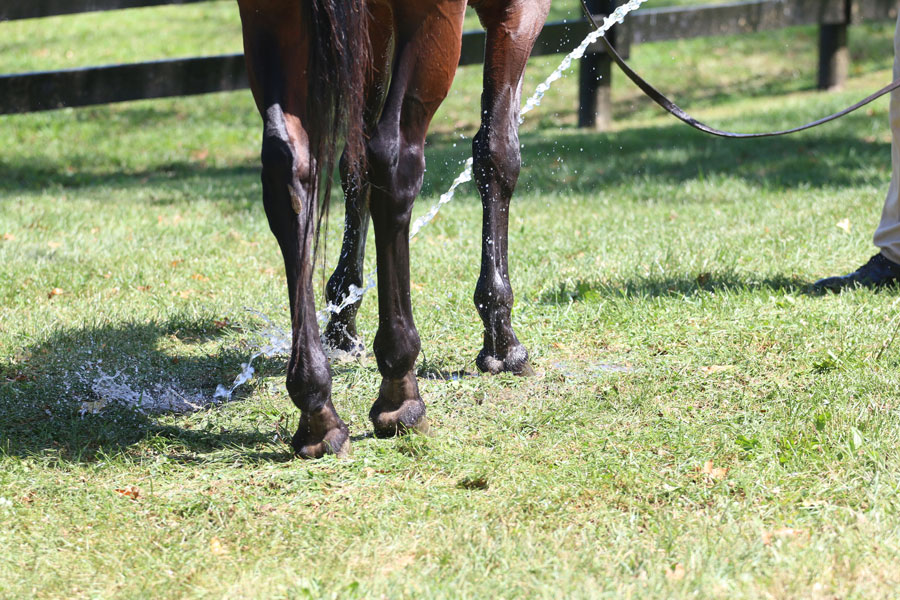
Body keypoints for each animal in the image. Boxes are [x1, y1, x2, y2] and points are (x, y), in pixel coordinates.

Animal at [236, 0, 552, 458]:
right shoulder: (515, 13)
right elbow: (497, 153)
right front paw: (501, 338)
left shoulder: (372, 27)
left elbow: (353, 166)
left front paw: (342, 316)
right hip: (431, 25)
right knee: (393, 157)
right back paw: (401, 392)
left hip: (271, 21)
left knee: (287, 169)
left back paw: (316, 407)